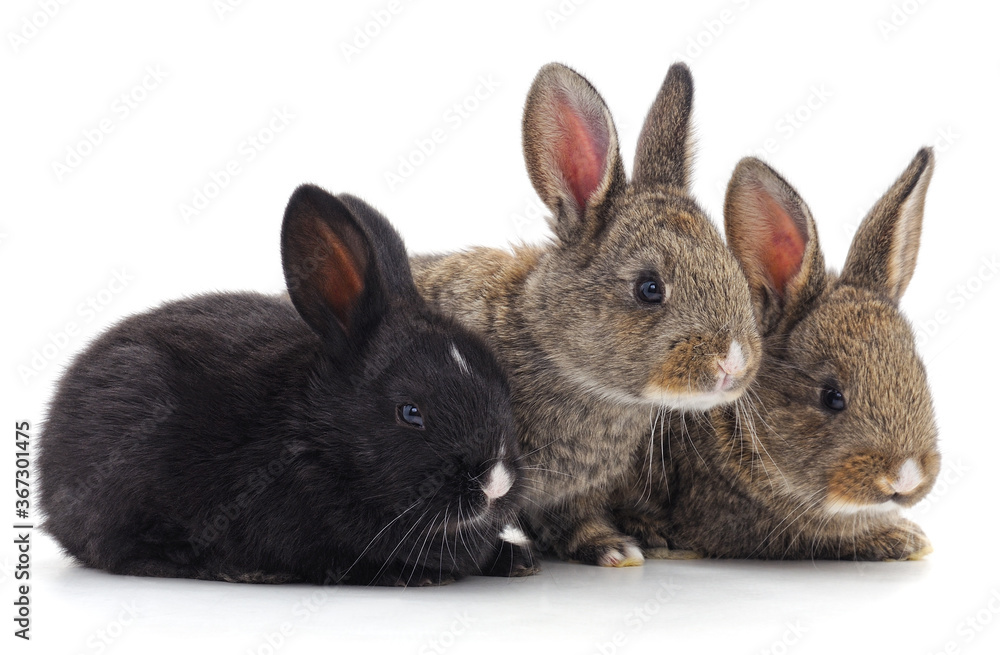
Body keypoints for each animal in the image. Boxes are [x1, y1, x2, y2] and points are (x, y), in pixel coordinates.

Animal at [37, 184, 533, 586]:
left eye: (504, 390)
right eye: (410, 413)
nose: (496, 484)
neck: (320, 440)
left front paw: (517, 560)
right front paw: (408, 574)